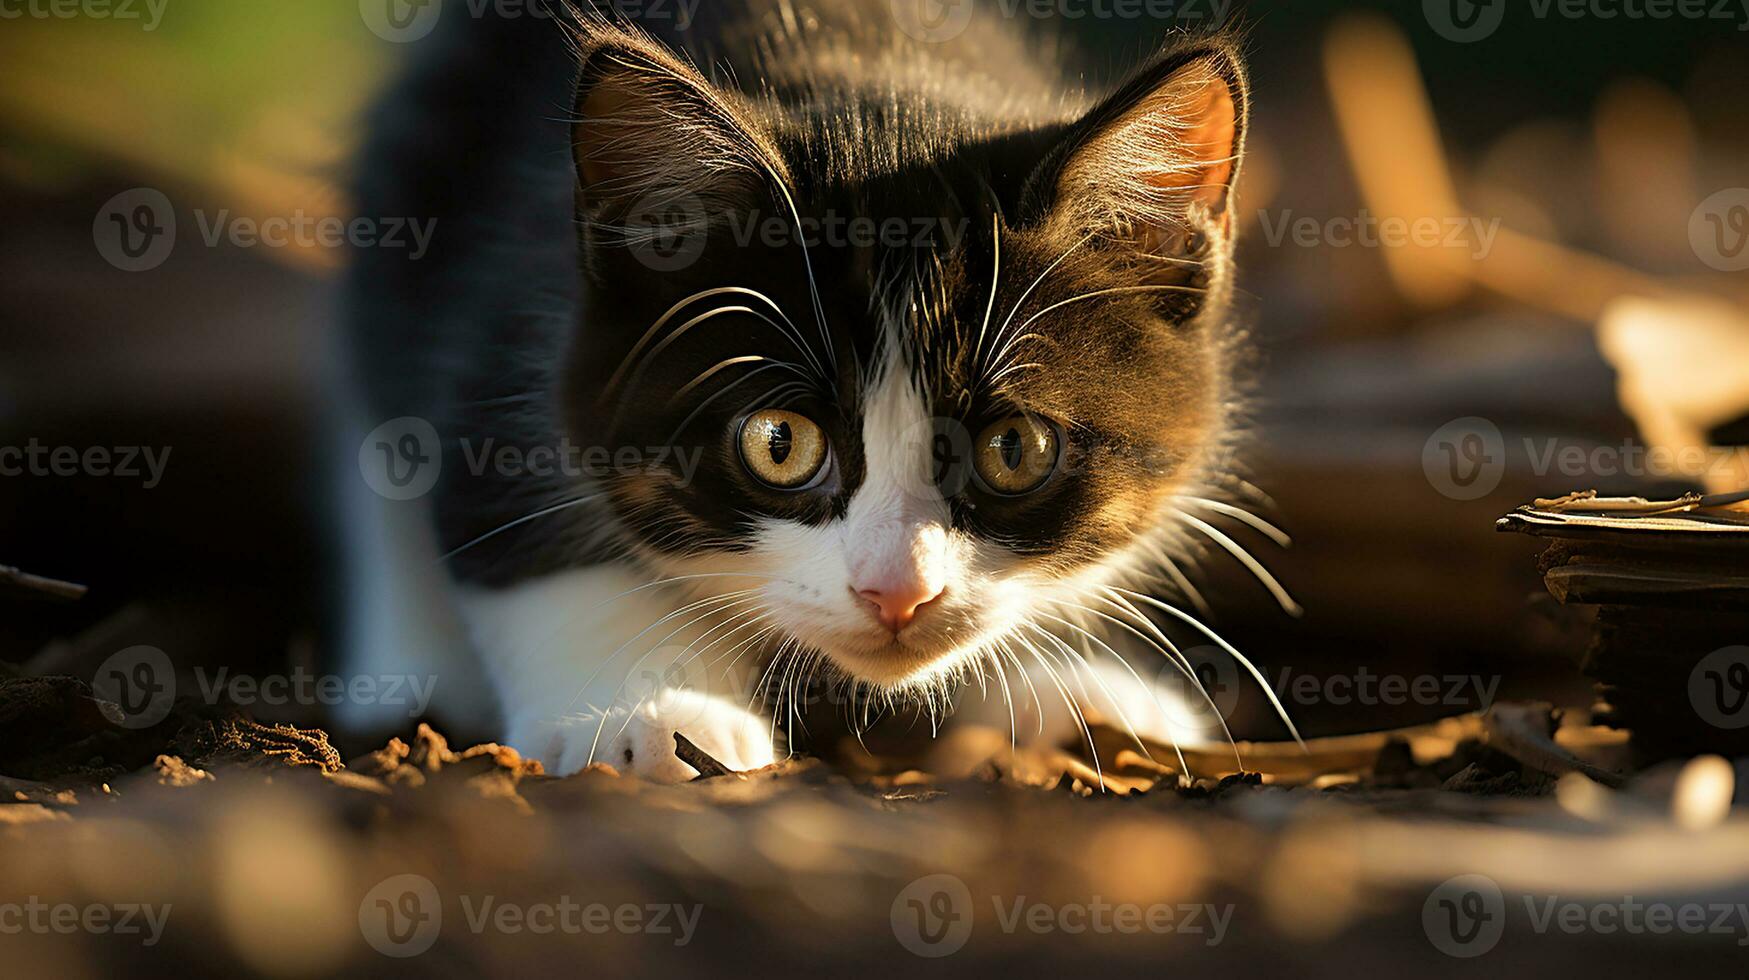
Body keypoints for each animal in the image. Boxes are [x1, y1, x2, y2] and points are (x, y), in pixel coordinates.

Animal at [337, 0, 1287, 780]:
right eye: (780, 443)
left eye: (1014, 449)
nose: (897, 593)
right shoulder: (509, 311)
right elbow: (510, 529)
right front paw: (647, 710)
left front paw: (1068, 689)